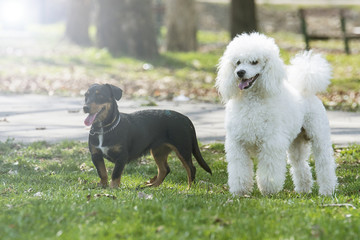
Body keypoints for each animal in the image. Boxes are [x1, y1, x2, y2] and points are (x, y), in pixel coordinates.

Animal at [83, 83, 212, 188]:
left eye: (100, 95)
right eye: (86, 96)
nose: (85, 107)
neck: (104, 129)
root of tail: (185, 118)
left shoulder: (121, 157)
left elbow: (115, 174)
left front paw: (113, 188)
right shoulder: (96, 155)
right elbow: (102, 172)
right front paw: (103, 186)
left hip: (182, 149)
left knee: (191, 168)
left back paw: (189, 189)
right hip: (158, 151)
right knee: (164, 170)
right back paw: (151, 186)